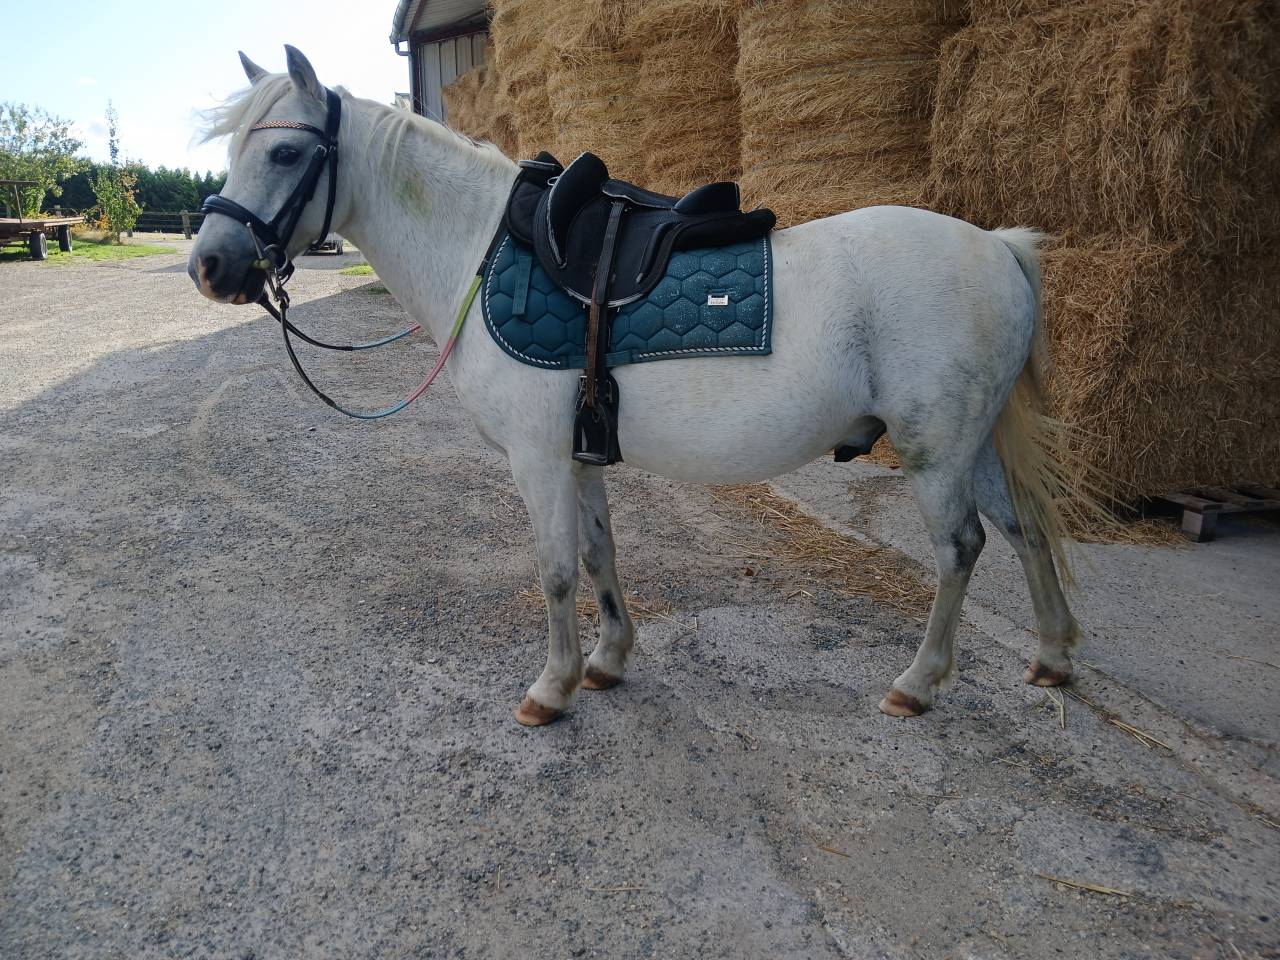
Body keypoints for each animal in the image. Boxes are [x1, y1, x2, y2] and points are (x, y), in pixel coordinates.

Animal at [188, 46, 1089, 727]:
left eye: (287, 152)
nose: (210, 266)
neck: (483, 252)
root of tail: (999, 245)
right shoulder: (578, 455)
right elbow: (598, 553)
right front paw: (607, 660)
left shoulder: (537, 460)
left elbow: (554, 568)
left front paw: (550, 688)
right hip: (968, 444)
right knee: (1023, 531)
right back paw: (1051, 656)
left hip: (934, 451)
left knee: (961, 547)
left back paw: (918, 682)